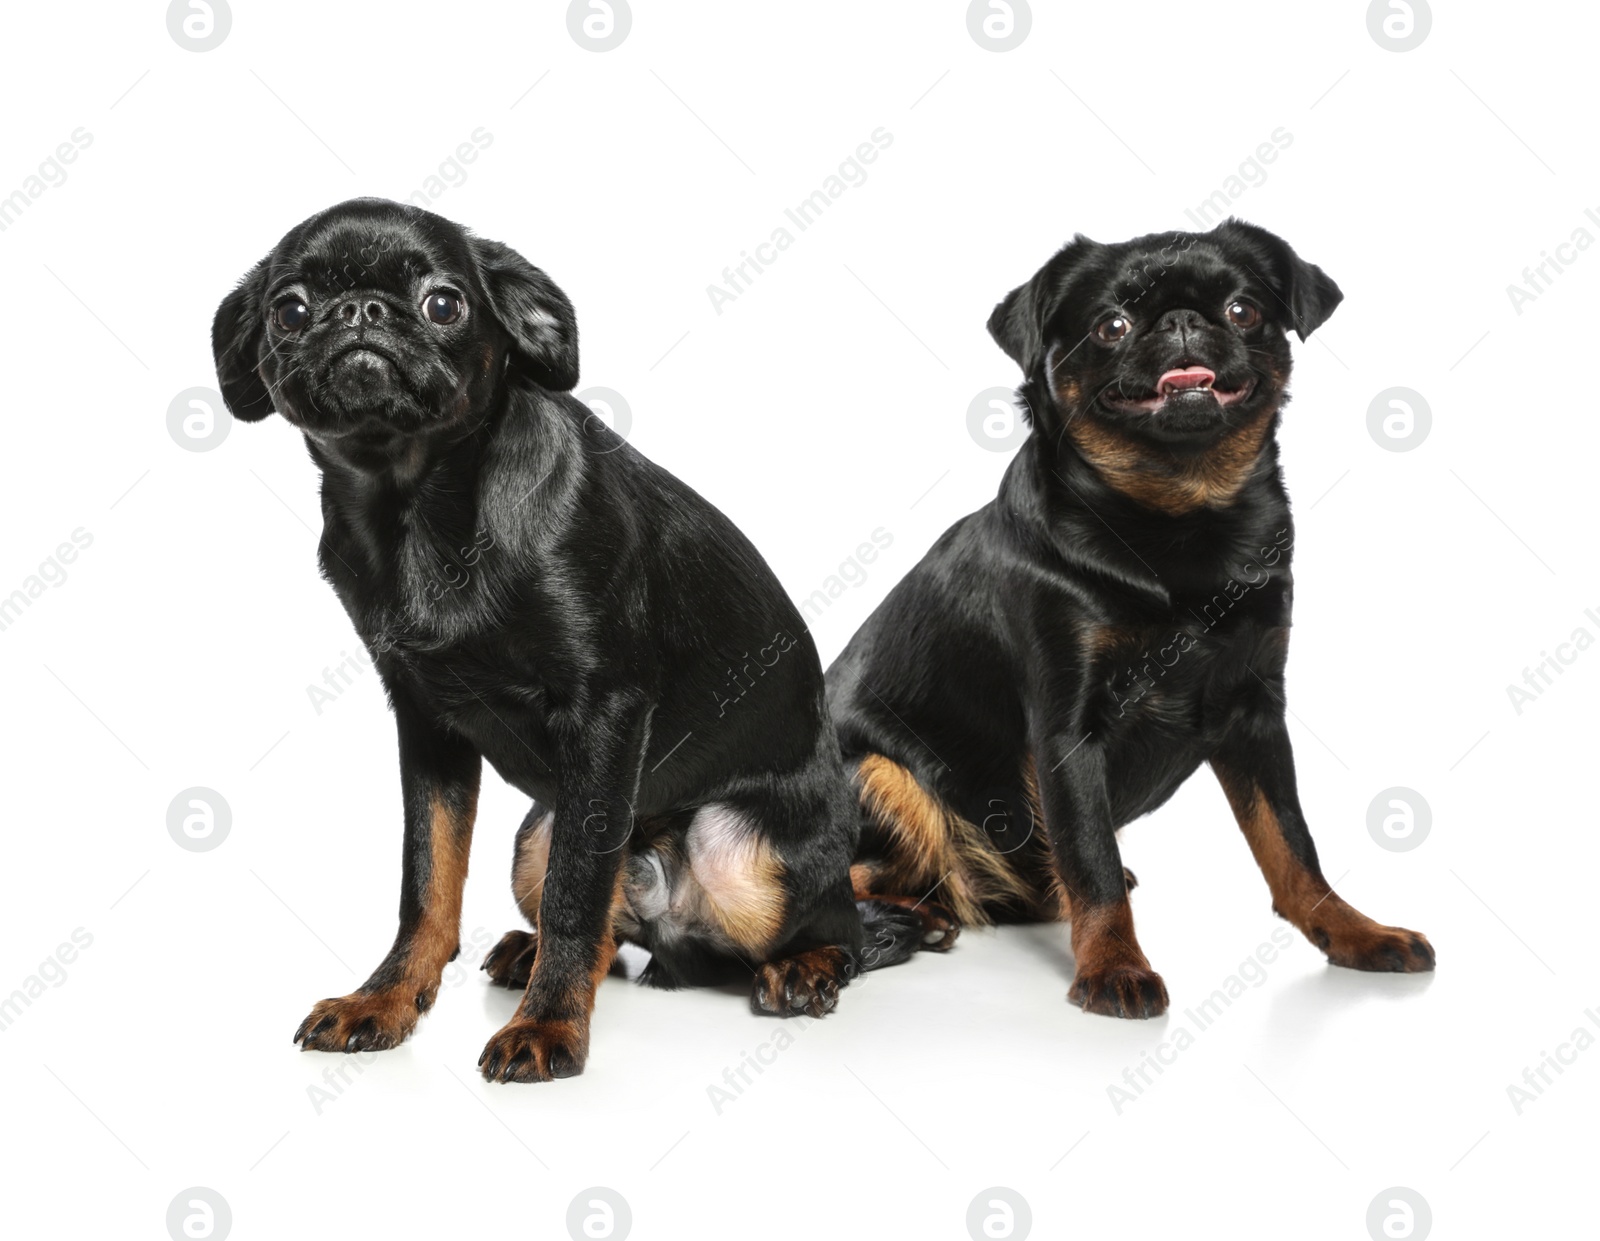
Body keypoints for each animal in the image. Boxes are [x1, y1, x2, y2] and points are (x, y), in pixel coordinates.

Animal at [209, 199, 928, 1081]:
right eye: (290, 309)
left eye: (444, 303)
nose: (359, 313)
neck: (418, 506)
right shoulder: (427, 724)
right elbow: (428, 878)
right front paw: (386, 998)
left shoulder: (605, 710)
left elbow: (576, 893)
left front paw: (550, 1024)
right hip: (535, 832)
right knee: (604, 918)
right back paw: (528, 951)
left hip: (748, 859)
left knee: (845, 929)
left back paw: (805, 966)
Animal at [832, 220, 1433, 1017]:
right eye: (1110, 326)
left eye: (1242, 310)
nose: (1180, 321)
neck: (1180, 522)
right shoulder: (1068, 731)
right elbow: (1090, 857)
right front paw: (1113, 965)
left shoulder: (1256, 711)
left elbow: (1292, 843)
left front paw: (1351, 931)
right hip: (881, 773)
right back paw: (910, 918)